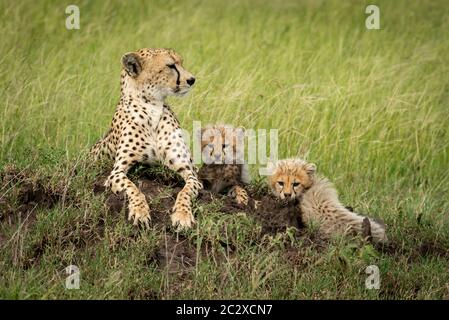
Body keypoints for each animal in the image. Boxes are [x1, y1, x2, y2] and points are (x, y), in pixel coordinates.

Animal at [90, 48, 201, 230]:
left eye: (181, 63)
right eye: (170, 65)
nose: (192, 80)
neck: (152, 107)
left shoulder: (190, 171)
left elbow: (185, 192)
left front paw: (182, 215)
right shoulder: (116, 172)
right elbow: (134, 189)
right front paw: (140, 212)